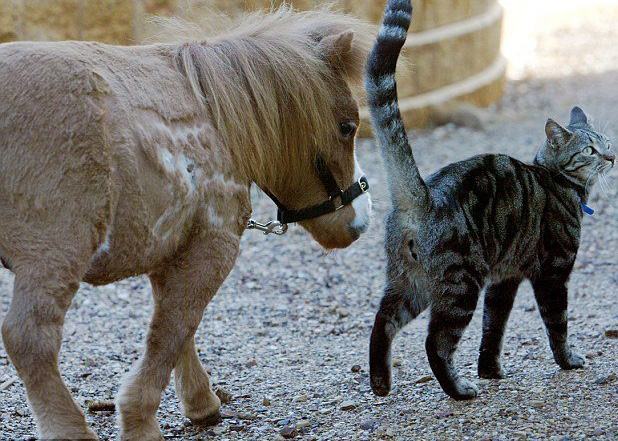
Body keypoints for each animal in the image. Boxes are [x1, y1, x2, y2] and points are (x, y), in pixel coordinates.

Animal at [366, 0, 612, 398]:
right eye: (590, 150)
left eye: (606, 142)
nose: (611, 157)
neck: (558, 181)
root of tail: (423, 197)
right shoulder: (553, 273)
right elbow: (557, 325)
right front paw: (568, 361)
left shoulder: (505, 280)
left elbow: (493, 330)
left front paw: (491, 371)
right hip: (461, 285)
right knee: (435, 343)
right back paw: (458, 390)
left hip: (409, 283)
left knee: (382, 321)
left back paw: (381, 383)